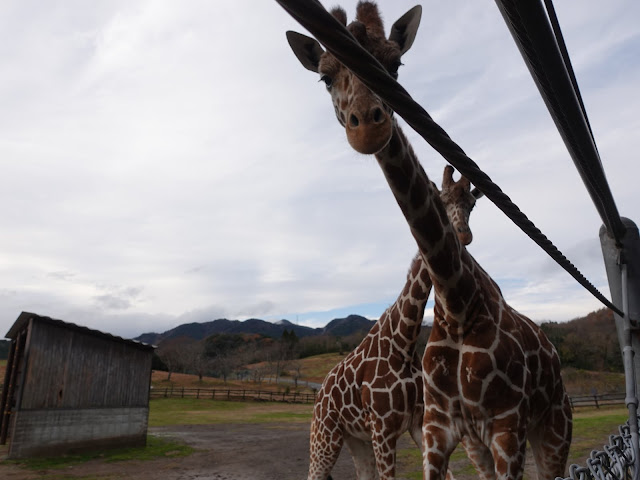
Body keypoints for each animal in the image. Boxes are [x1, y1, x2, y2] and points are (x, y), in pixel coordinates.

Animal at [308, 166, 482, 480]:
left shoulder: (416, 423)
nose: (463, 235)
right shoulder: (383, 428)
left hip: (356, 438)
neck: (405, 338)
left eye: (472, 204)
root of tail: (318, 396)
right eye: (441, 200)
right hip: (325, 436)